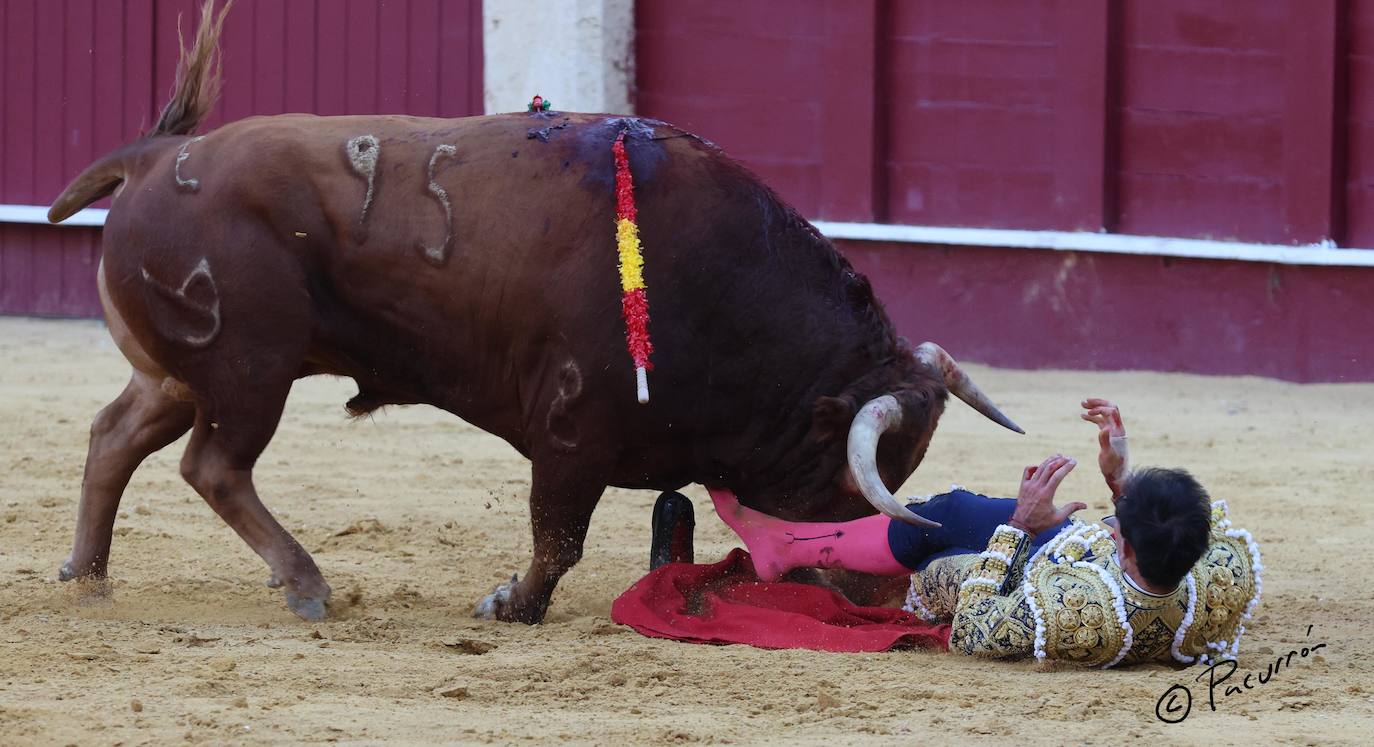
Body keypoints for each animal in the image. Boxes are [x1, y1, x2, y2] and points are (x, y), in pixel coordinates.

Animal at [48, 1, 1022, 623]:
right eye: (860, 468)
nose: (878, 592)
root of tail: (159, 155)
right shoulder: (572, 428)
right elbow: (557, 537)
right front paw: (510, 604)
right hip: (249, 368)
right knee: (213, 465)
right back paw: (306, 585)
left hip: (180, 370)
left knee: (114, 437)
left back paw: (87, 578)